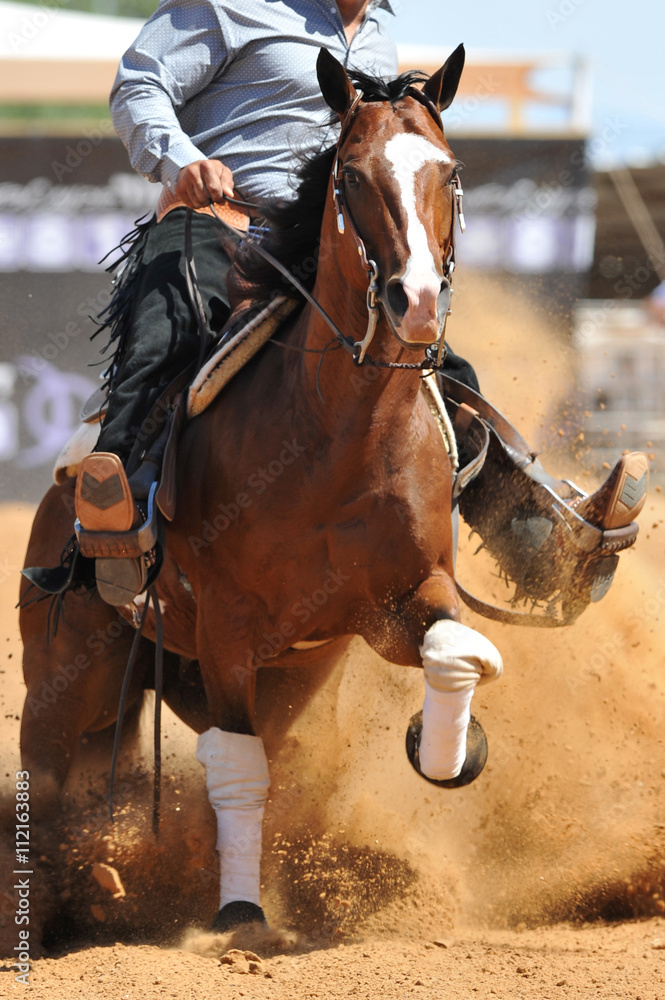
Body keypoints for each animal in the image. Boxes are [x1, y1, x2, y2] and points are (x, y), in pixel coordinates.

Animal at [19, 46, 503, 934]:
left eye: (448, 172)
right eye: (350, 175)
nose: (415, 301)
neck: (340, 438)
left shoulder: (396, 603)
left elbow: (457, 652)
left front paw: (447, 752)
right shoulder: (226, 632)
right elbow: (238, 769)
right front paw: (240, 911)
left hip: (259, 684)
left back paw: (105, 877)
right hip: (66, 676)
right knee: (49, 779)